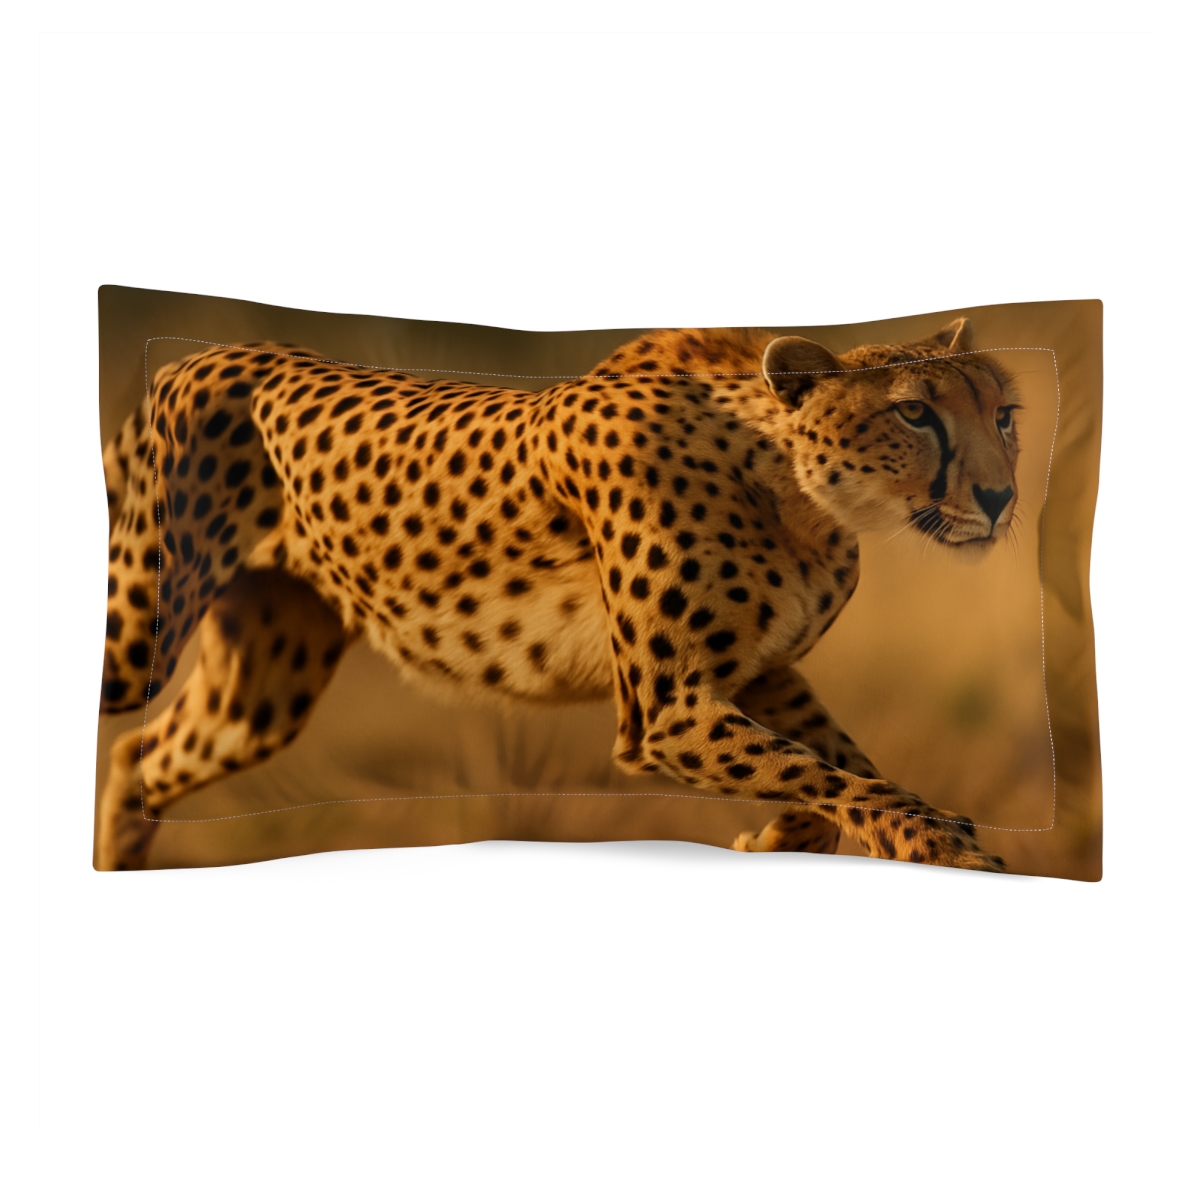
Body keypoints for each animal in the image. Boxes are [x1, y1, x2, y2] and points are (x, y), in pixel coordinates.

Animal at [97, 317, 1020, 872]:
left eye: (1005, 414)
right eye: (913, 414)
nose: (1001, 498)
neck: (801, 496)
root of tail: (199, 353)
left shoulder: (760, 675)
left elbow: (832, 766)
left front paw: (782, 835)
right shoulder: (668, 711)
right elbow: (828, 774)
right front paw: (939, 847)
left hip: (260, 691)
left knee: (141, 751)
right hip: (139, 628)